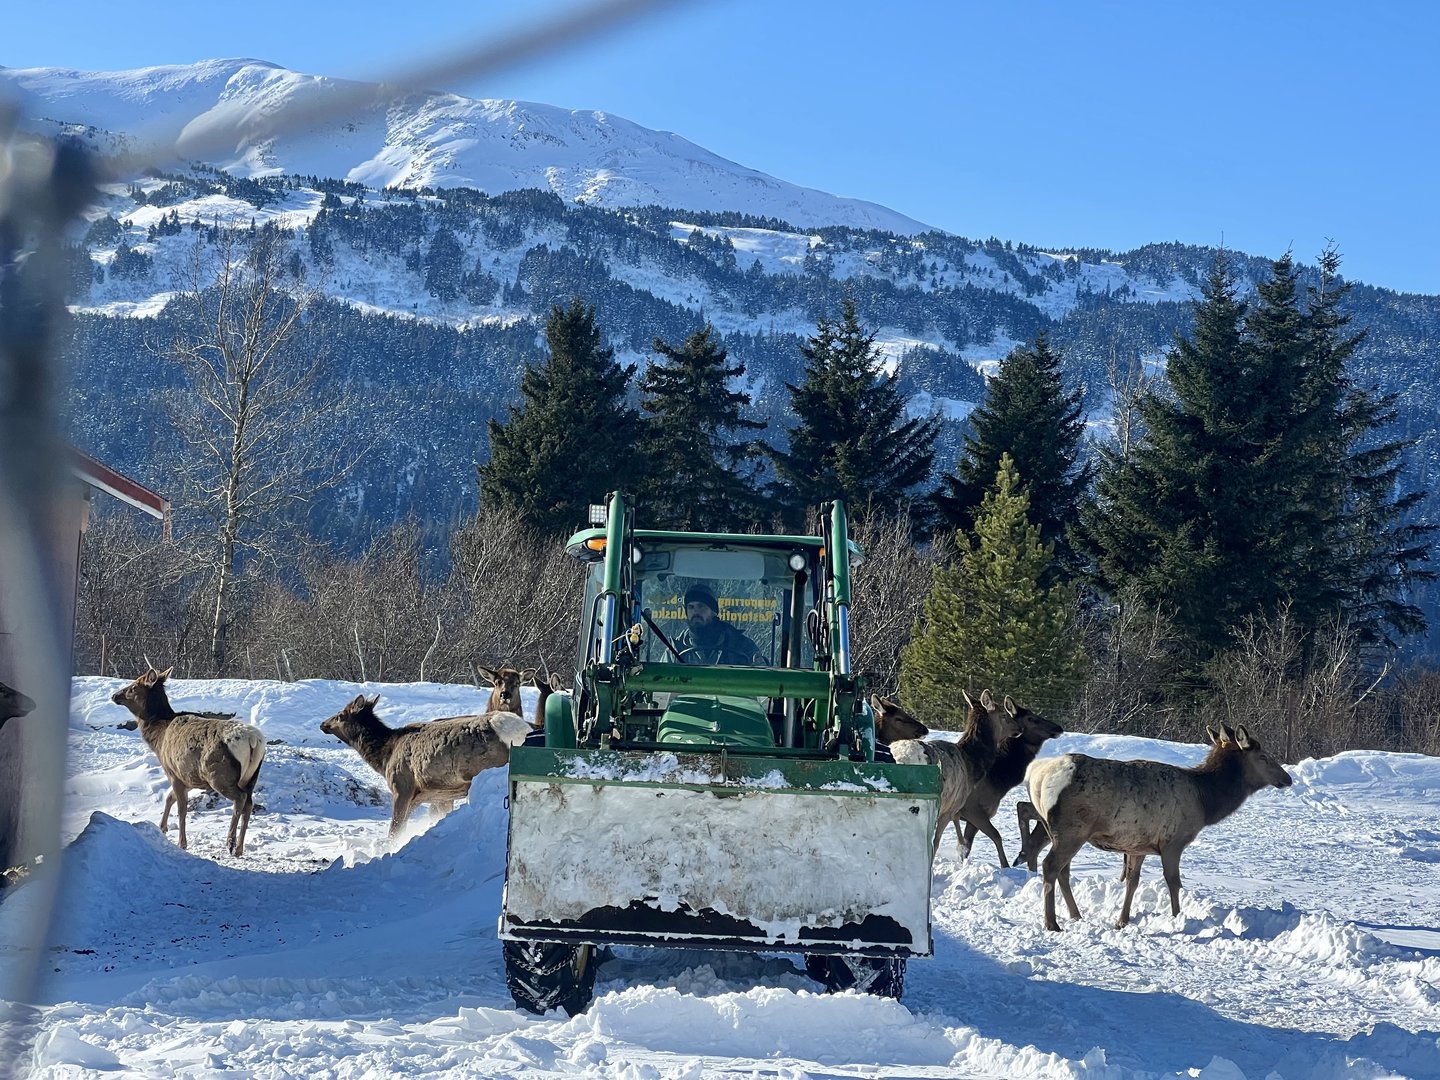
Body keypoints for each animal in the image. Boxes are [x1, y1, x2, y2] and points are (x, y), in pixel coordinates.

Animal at [110, 668, 265, 856]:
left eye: (133, 687)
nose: (114, 695)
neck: (158, 739)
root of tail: (254, 740)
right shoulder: (189, 777)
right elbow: (169, 797)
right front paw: (162, 827)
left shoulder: (173, 772)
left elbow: (181, 808)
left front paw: (182, 843)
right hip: (251, 777)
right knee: (249, 804)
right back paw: (239, 848)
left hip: (219, 775)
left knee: (240, 799)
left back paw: (230, 842)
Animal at [320, 693, 531, 836]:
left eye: (340, 715)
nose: (323, 724)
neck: (384, 757)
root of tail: (521, 731)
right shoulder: (435, 796)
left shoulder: (402, 787)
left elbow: (394, 830)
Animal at [886, 689, 1023, 862]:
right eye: (1004, 714)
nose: (1020, 728)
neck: (971, 766)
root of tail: (900, 757)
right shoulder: (948, 808)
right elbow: (935, 843)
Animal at [1025, 722, 1293, 931]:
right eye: (1263, 756)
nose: (1287, 779)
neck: (1205, 801)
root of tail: (1037, 777)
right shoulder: (1174, 841)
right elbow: (1173, 881)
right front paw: (1177, 917)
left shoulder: (1137, 845)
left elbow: (1132, 881)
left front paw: (1122, 921)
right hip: (1072, 829)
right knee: (1050, 866)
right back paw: (1052, 923)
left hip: (1057, 829)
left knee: (1063, 871)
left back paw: (1075, 915)